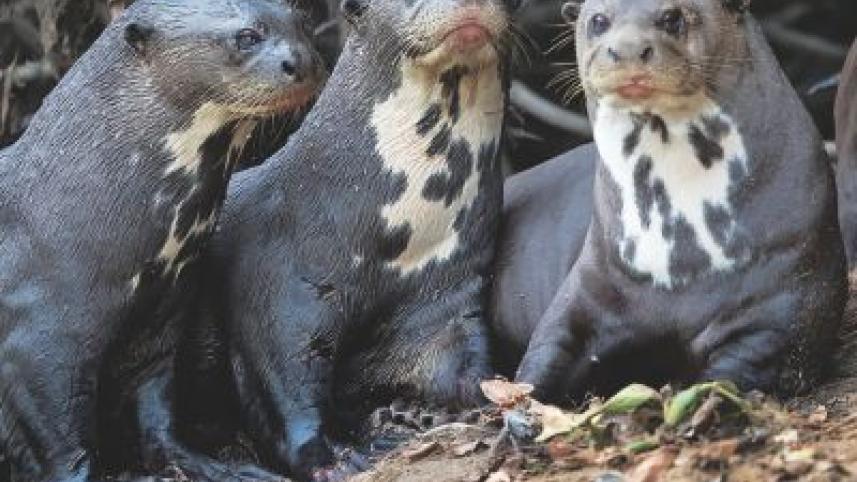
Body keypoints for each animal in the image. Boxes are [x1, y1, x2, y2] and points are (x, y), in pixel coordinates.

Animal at [0, 0, 324, 480]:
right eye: (246, 36)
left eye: (302, 23)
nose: (301, 61)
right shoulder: (36, 338)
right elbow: (60, 440)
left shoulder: (160, 318)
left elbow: (155, 408)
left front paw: (218, 466)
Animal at [496, 0, 845, 400]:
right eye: (598, 20)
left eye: (672, 17)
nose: (628, 49)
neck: (681, 258)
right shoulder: (589, 284)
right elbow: (545, 351)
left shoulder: (781, 309)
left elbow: (739, 369)